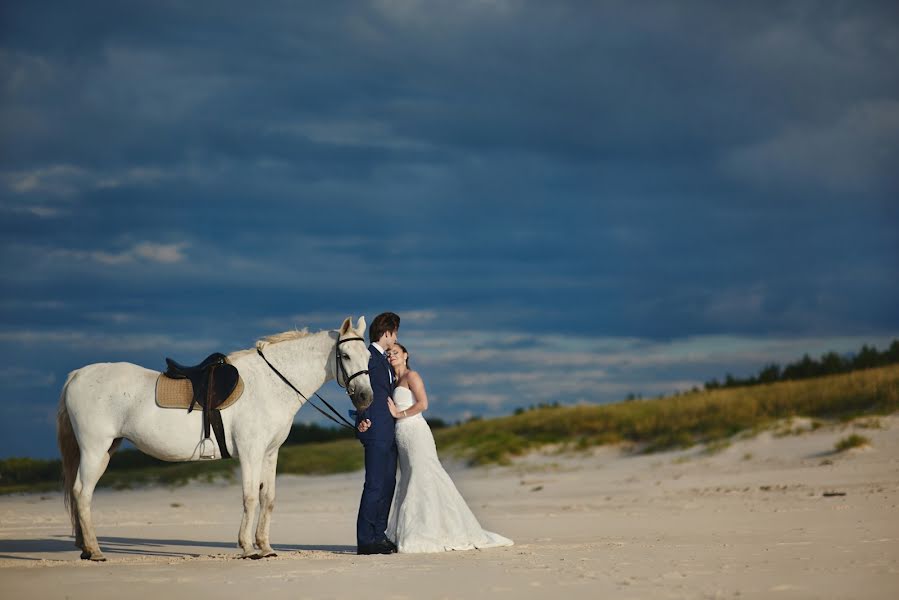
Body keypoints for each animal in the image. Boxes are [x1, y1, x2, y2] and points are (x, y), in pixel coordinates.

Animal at [56, 316, 372, 560]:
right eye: (345, 356)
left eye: (368, 356)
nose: (365, 397)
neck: (270, 384)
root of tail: (77, 375)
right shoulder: (250, 451)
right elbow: (250, 497)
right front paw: (248, 548)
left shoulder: (270, 453)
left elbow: (267, 498)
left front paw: (266, 547)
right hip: (94, 450)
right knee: (82, 493)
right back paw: (95, 551)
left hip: (106, 450)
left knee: (81, 494)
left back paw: (87, 549)